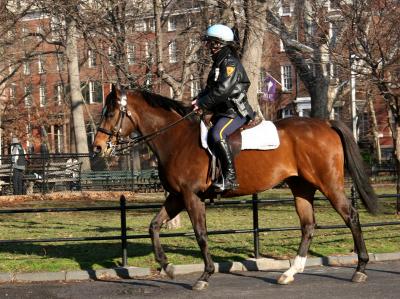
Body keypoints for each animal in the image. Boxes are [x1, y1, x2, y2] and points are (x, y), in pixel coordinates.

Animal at [93, 86, 378, 290]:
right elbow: (153, 226)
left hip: (329, 184)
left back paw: (361, 269)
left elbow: (201, 234)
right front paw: (167, 266)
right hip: (302, 188)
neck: (176, 139)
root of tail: (325, 123)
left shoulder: (191, 197)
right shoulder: (176, 197)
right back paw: (289, 273)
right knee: (308, 226)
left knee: (351, 216)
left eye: (110, 113)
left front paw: (205, 275)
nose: (97, 147)